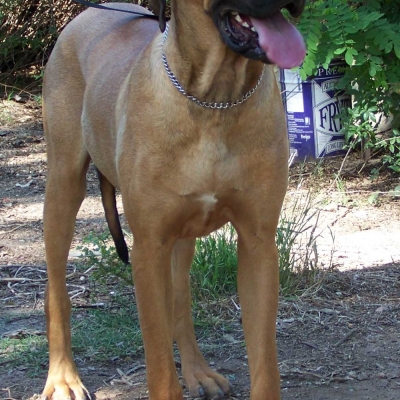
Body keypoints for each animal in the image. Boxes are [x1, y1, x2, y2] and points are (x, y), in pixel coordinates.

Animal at [41, 0, 306, 400]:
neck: (215, 98)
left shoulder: (258, 243)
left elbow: (265, 365)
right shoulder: (149, 247)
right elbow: (160, 362)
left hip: (182, 235)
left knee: (180, 301)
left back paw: (198, 371)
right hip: (63, 185)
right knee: (57, 292)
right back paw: (62, 377)